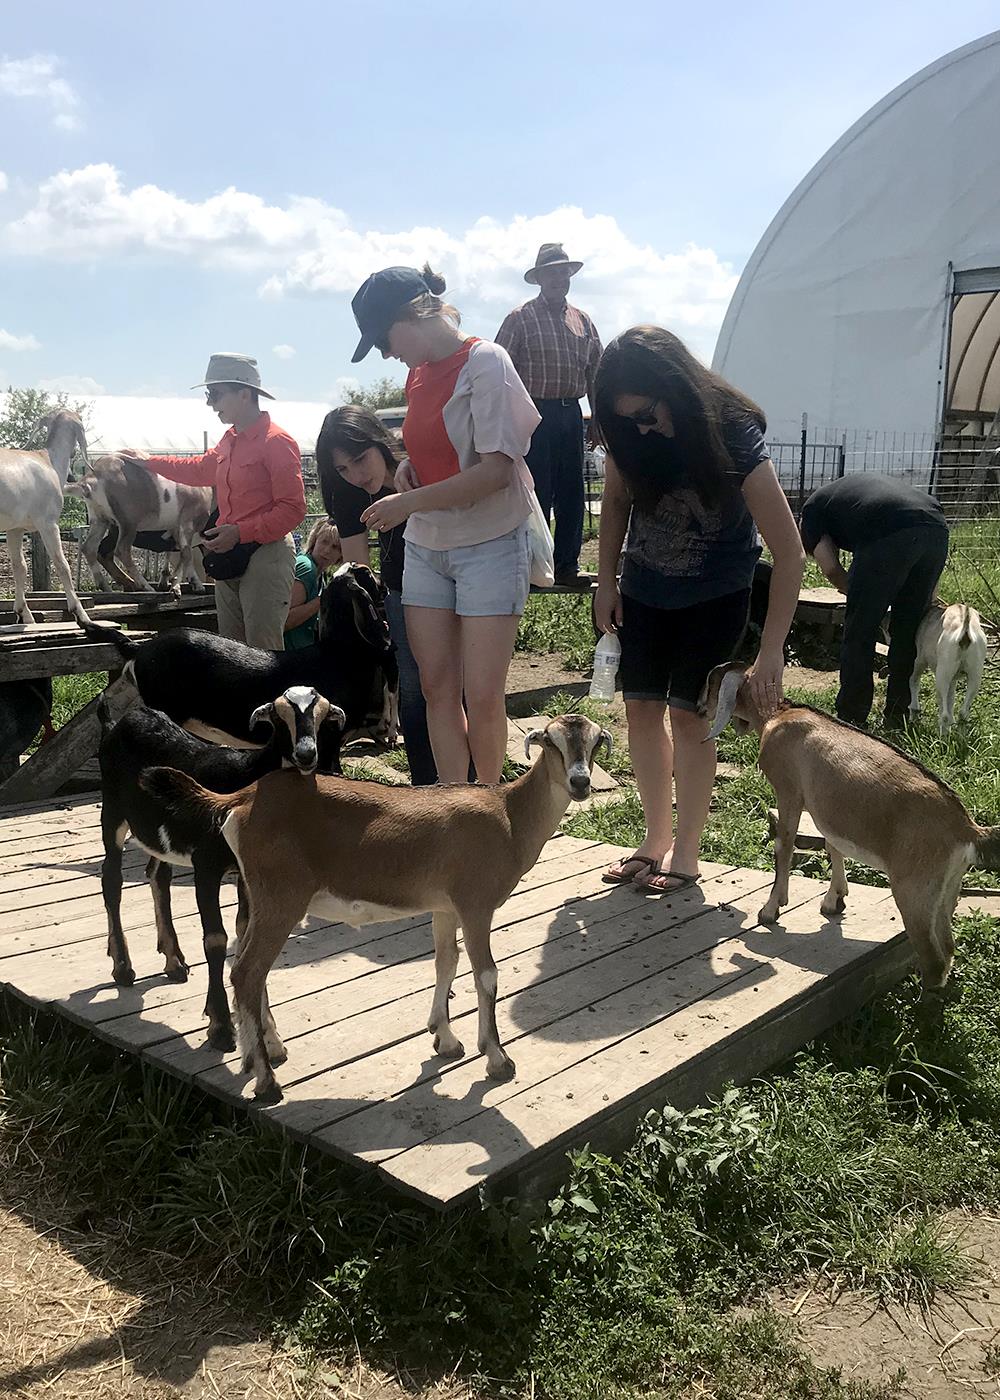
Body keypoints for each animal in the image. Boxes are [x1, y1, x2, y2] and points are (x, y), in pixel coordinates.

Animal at [0, 406, 92, 624]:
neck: (48, 460)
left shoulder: (15, 528)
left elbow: (20, 567)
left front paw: (24, 615)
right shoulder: (48, 523)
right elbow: (62, 564)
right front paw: (80, 613)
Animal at [98, 683, 343, 1047]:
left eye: (323, 715)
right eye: (278, 716)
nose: (305, 754)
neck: (246, 775)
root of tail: (116, 723)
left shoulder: (246, 873)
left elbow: (244, 933)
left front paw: (266, 1028)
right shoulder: (206, 865)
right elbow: (215, 940)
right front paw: (221, 1026)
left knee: (157, 875)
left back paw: (173, 960)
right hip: (112, 811)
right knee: (111, 881)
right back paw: (123, 967)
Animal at [697, 655, 1000, 996]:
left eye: (711, 682)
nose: (700, 708)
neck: (780, 714)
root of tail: (966, 829)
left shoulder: (789, 792)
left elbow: (784, 846)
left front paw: (771, 910)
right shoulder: (827, 810)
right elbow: (833, 845)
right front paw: (835, 900)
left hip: (915, 890)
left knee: (932, 957)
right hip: (947, 889)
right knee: (947, 946)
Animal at [907, 602, 985, 733]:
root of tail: (965, 633)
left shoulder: (920, 659)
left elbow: (913, 680)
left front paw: (914, 713)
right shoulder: (953, 679)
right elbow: (951, 697)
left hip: (942, 674)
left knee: (944, 714)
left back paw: (942, 736)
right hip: (975, 674)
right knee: (963, 713)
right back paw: (959, 736)